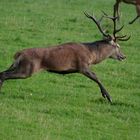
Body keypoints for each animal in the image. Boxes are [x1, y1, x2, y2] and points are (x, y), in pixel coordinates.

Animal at [0, 11, 130, 102]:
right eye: (117, 46)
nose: (123, 56)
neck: (92, 55)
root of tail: (18, 54)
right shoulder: (82, 65)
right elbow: (96, 77)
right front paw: (108, 97)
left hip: (18, 66)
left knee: (2, 72)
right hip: (27, 69)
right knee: (4, 75)